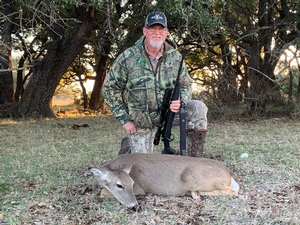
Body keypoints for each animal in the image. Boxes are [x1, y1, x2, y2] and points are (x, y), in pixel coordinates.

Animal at [88, 154, 240, 208]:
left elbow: (102, 192)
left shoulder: (140, 189)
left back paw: (197, 194)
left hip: (190, 176)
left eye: (132, 183)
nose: (133, 205)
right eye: (119, 185)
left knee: (233, 191)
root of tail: (228, 172)